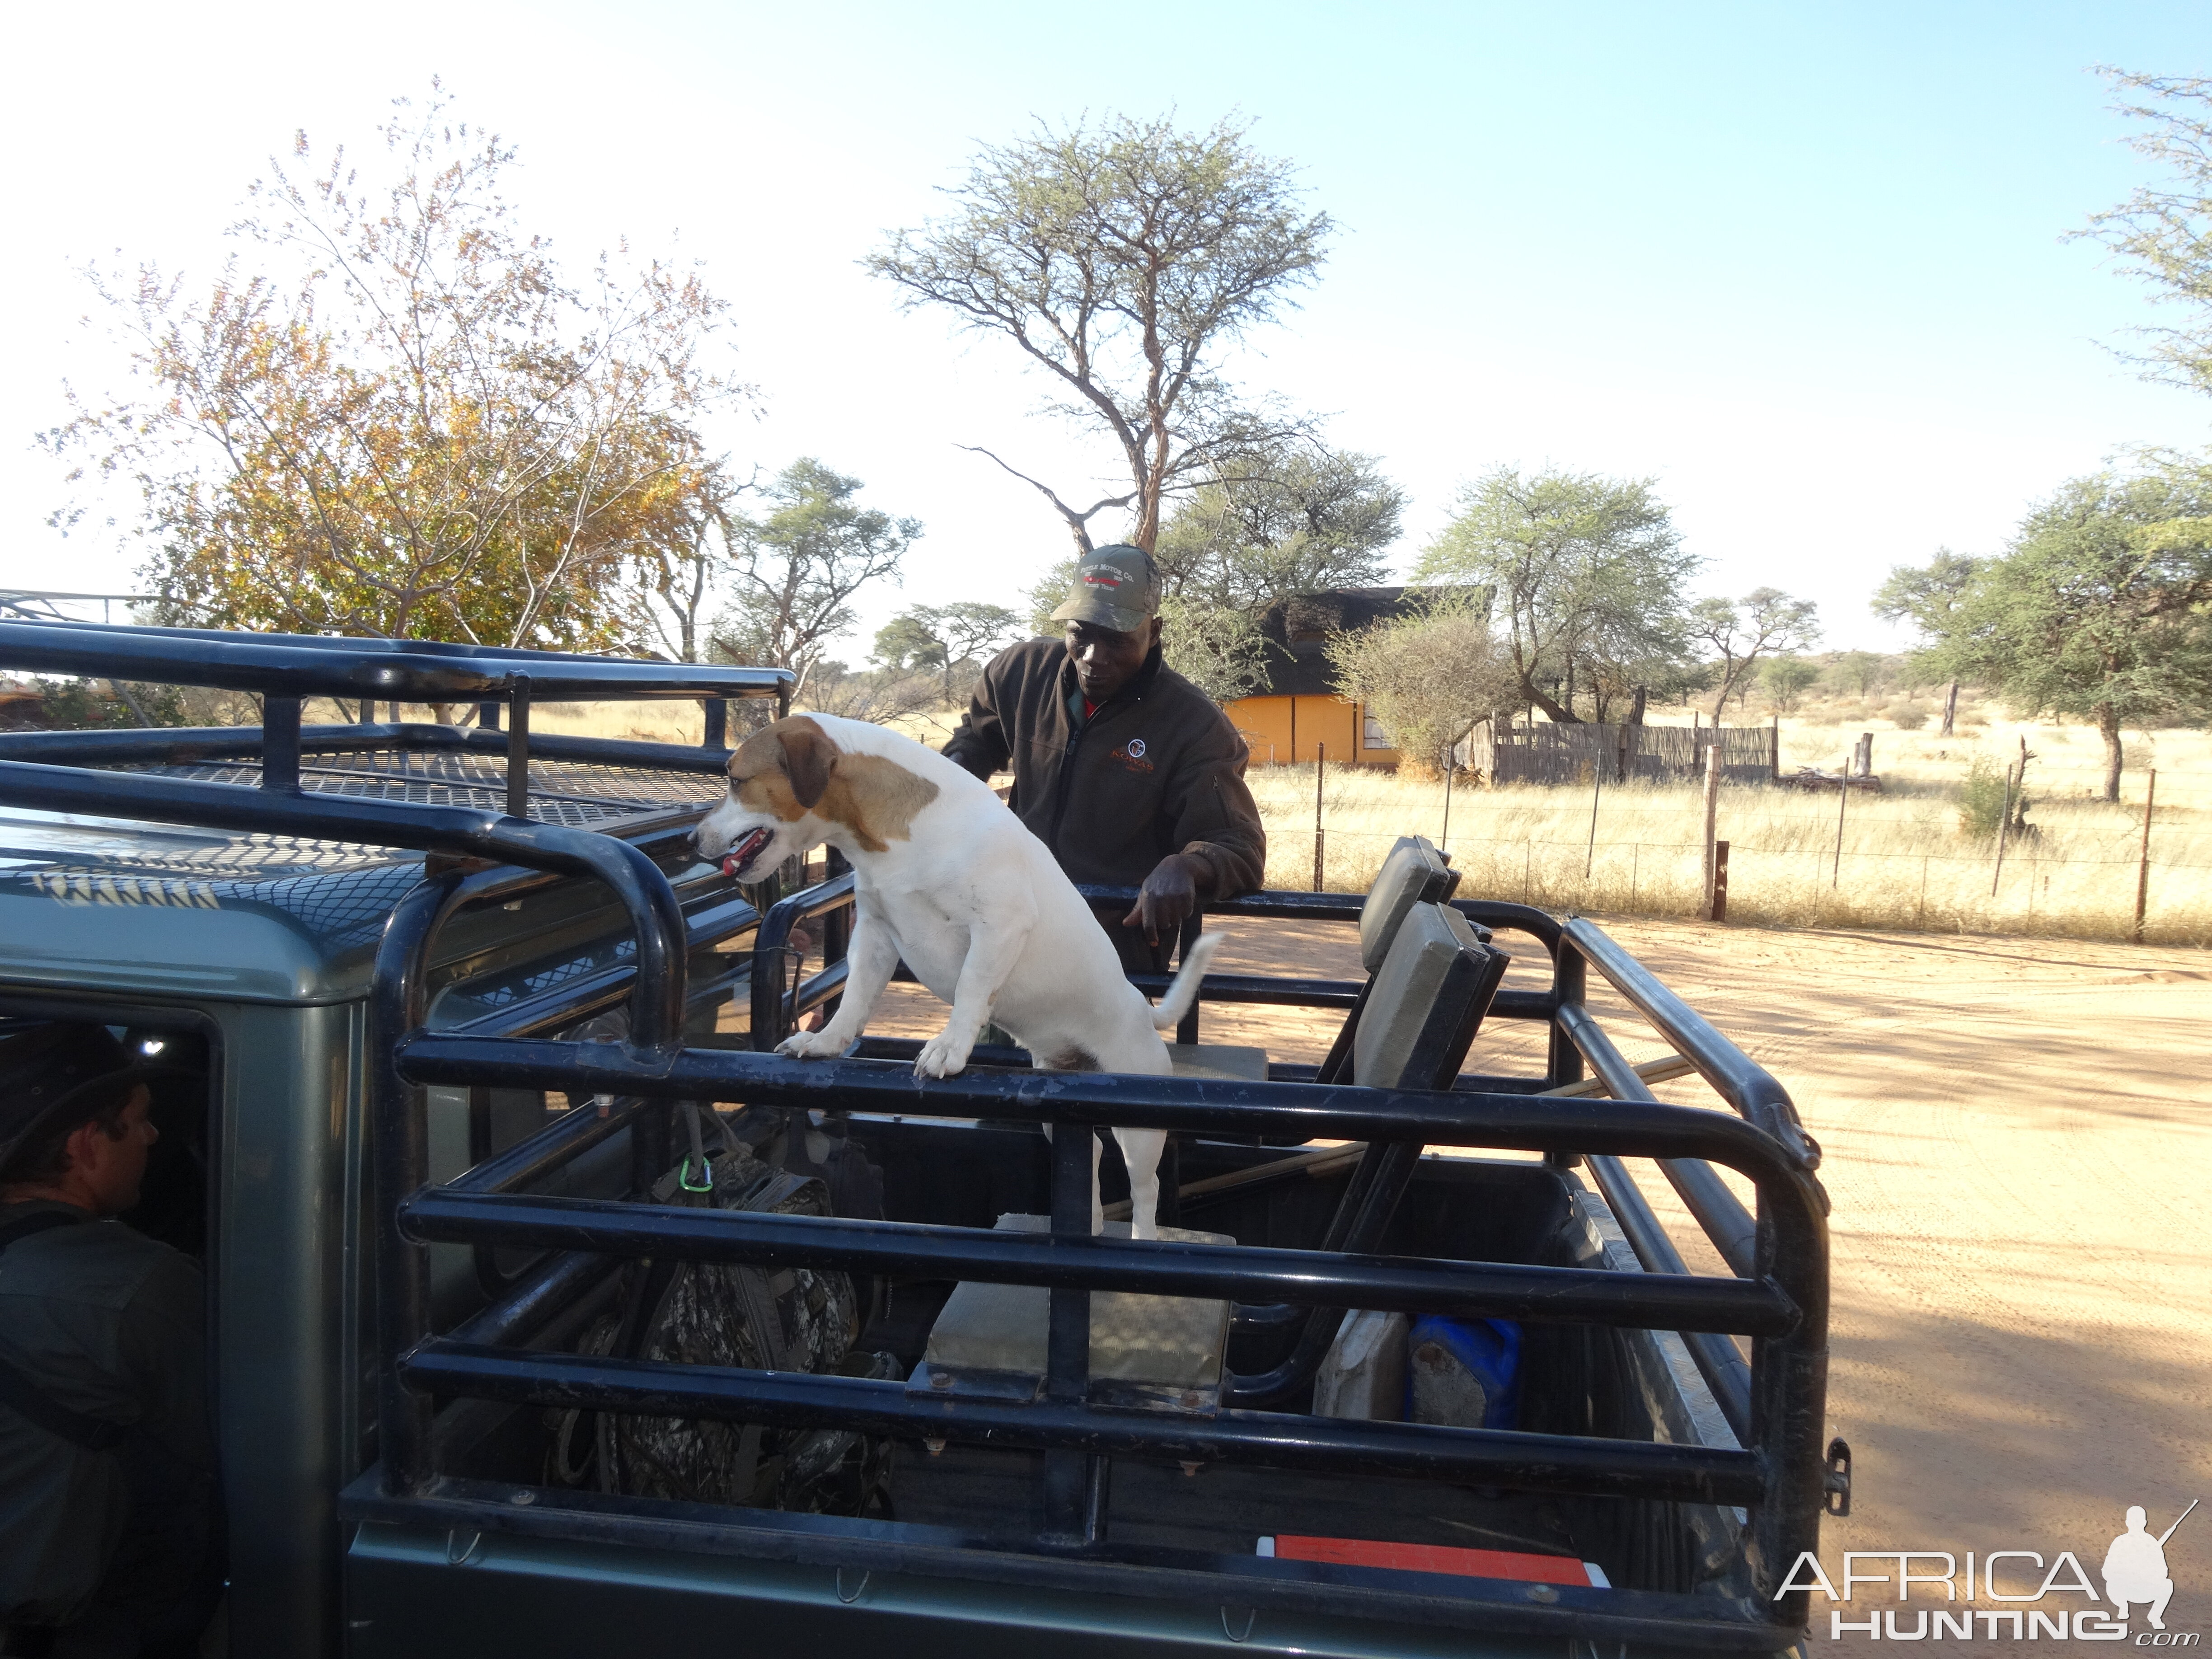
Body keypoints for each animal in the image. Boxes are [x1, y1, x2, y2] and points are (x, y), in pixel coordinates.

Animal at [694, 708, 1230, 1238]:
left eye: (736, 779)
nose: (693, 838)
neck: (892, 835)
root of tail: (1142, 1010)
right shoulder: (875, 933)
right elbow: (853, 1001)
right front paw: (825, 1042)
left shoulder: (998, 924)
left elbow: (972, 989)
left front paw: (948, 1049)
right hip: (1057, 1110)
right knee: (1088, 1151)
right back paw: (1092, 1222)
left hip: (1138, 1127)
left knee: (1146, 1189)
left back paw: (1141, 1237)